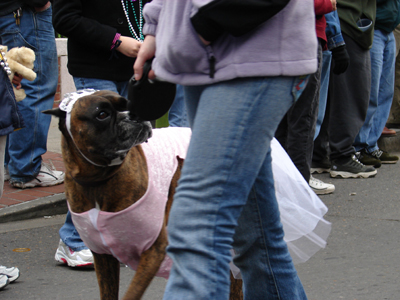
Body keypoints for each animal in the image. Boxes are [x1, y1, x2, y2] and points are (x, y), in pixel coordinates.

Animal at [44, 89, 244, 300]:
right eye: (102, 114)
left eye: (129, 103)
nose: (135, 114)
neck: (99, 180)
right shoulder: (103, 257)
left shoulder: (154, 251)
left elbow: (131, 294)